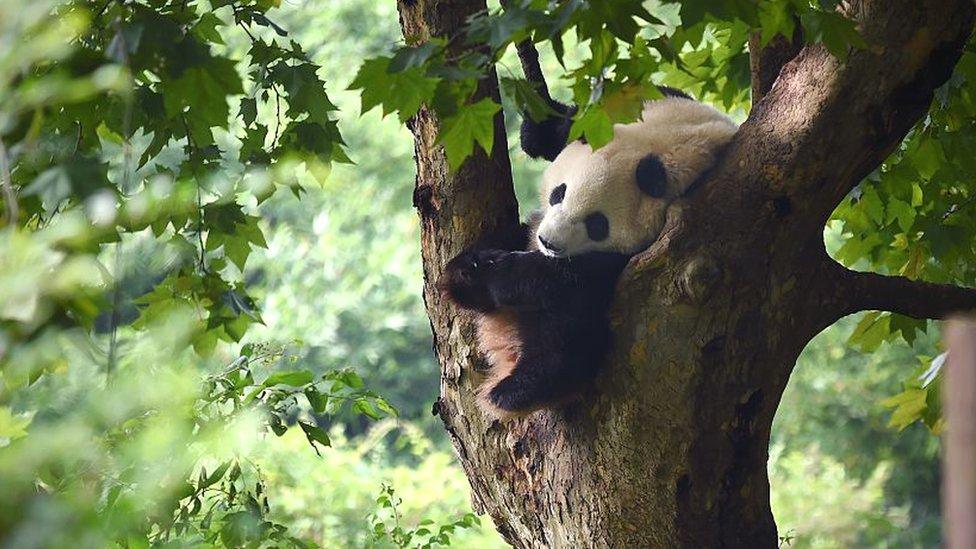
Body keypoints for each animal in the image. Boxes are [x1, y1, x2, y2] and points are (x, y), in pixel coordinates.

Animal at [438, 88, 736, 418]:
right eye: (559, 193)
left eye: (597, 224)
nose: (548, 242)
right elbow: (551, 132)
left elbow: (570, 278)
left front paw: (502, 276)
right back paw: (463, 275)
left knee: (569, 338)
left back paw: (518, 390)